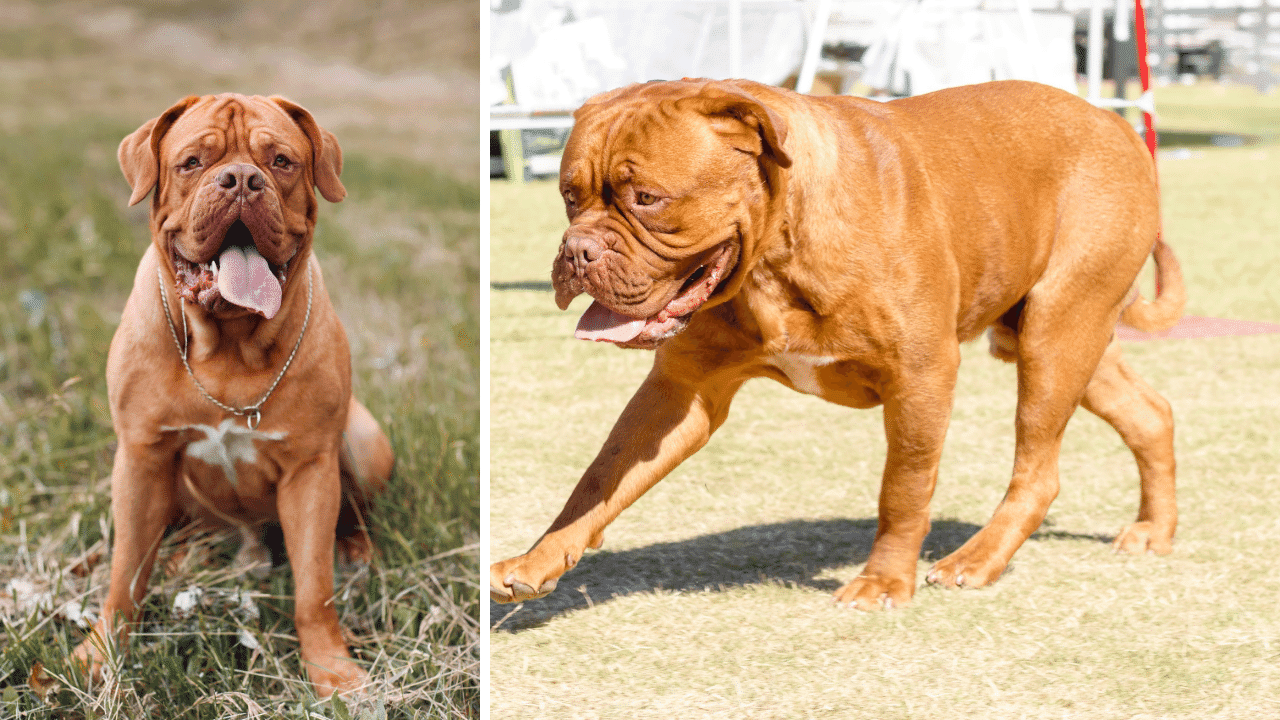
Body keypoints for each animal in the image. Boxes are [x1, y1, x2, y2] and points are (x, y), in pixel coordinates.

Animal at [72, 92, 391, 691]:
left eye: (282, 161)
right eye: (192, 162)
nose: (242, 178)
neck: (229, 347)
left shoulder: (310, 470)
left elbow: (314, 588)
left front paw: (331, 670)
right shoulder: (141, 458)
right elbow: (125, 572)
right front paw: (100, 654)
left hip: (364, 443)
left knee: (354, 514)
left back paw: (357, 551)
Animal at [486, 77, 1177, 604]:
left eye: (648, 199)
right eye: (569, 196)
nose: (576, 251)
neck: (772, 258)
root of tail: (1114, 124)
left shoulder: (921, 377)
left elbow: (903, 489)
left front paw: (884, 582)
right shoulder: (680, 392)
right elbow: (601, 477)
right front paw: (539, 558)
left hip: (1056, 335)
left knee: (1038, 468)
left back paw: (976, 560)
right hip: (1052, 337)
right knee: (1149, 413)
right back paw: (1153, 531)